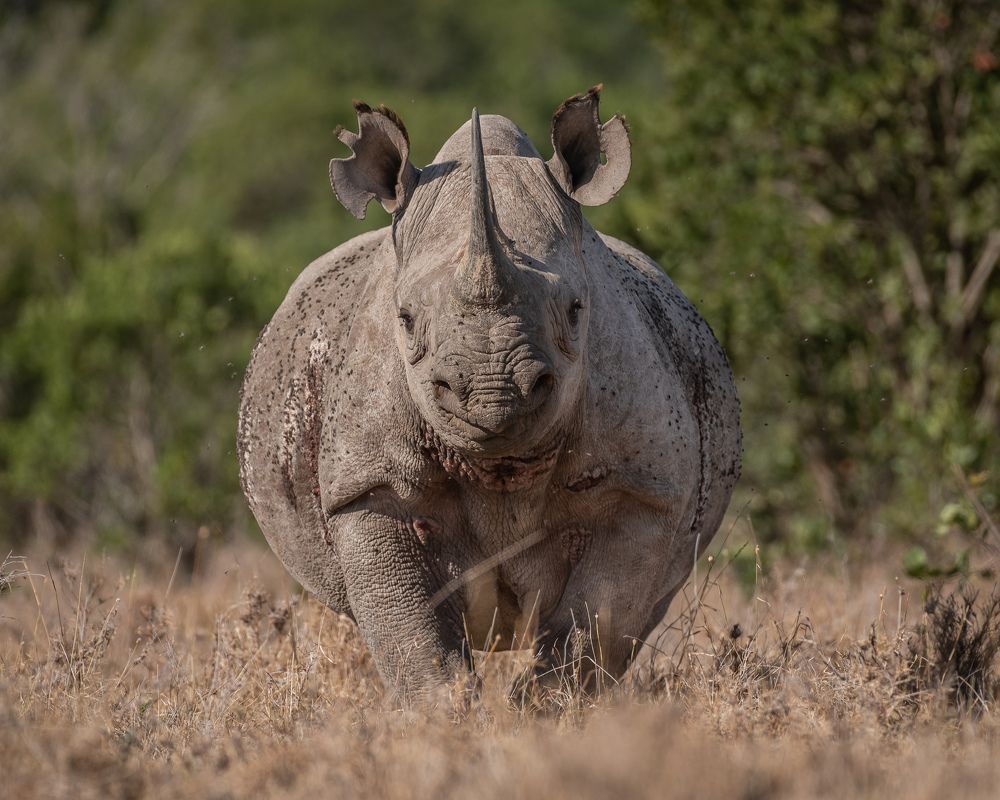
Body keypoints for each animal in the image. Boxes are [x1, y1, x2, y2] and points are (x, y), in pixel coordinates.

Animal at [238, 86, 741, 703]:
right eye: (405, 320)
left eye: (577, 310)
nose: (491, 394)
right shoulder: (367, 484)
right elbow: (412, 635)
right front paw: (446, 712)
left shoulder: (640, 486)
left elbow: (596, 622)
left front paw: (543, 709)